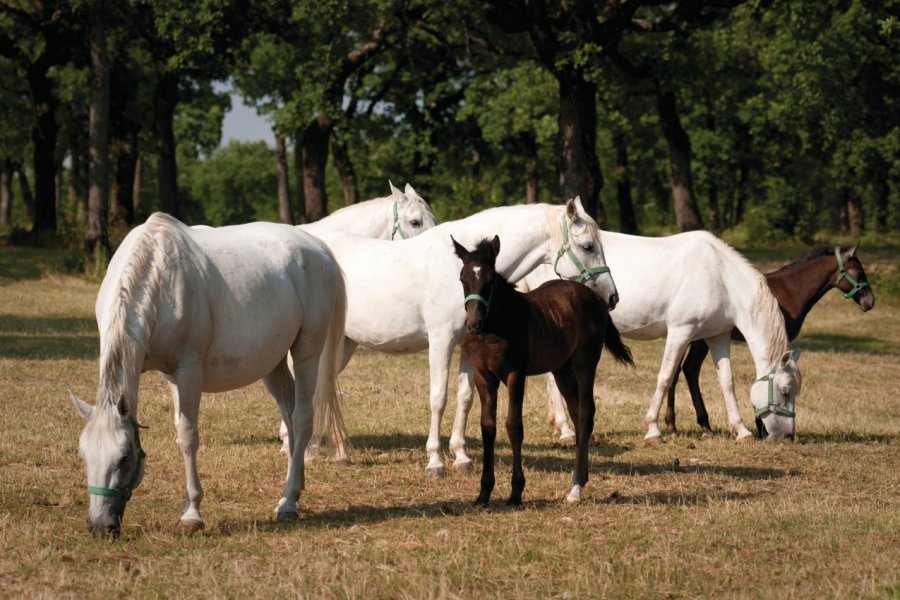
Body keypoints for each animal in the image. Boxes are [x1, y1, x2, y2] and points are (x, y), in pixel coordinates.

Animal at [69, 212, 344, 536]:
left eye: (124, 457)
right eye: (84, 455)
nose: (100, 525)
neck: (158, 273)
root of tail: (319, 248)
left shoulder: (188, 371)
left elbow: (188, 436)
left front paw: (192, 514)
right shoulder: (172, 378)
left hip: (306, 352)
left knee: (302, 419)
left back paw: (288, 503)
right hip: (273, 364)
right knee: (289, 418)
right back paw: (293, 491)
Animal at [312, 199, 616, 476]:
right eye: (587, 246)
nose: (612, 296)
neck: (457, 271)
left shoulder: (469, 346)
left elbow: (465, 397)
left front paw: (461, 457)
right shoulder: (441, 340)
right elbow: (438, 398)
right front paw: (435, 461)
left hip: (343, 344)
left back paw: (329, 451)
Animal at [454, 234, 628, 506]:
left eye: (490, 281)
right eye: (463, 278)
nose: (473, 323)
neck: (494, 328)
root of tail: (593, 296)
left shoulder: (515, 374)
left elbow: (514, 425)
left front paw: (516, 492)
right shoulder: (484, 377)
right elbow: (487, 427)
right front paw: (483, 493)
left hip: (585, 363)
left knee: (586, 412)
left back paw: (576, 489)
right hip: (561, 370)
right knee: (576, 412)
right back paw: (578, 480)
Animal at [524, 232, 804, 442]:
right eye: (785, 391)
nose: (787, 436)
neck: (720, 276)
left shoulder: (718, 336)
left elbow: (727, 382)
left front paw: (741, 430)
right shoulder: (681, 331)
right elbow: (666, 377)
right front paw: (652, 429)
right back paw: (566, 430)